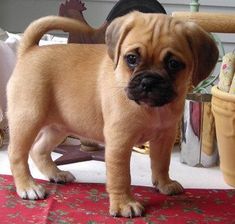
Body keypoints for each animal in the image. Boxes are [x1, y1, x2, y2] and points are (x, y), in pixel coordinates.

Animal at [6, 11, 218, 217]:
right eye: (131, 58)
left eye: (174, 64)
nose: (148, 82)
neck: (151, 110)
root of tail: (30, 50)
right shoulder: (120, 142)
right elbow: (121, 176)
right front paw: (124, 204)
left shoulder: (164, 137)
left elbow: (161, 164)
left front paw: (164, 184)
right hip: (28, 119)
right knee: (16, 154)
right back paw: (28, 186)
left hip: (58, 127)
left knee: (39, 150)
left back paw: (56, 174)